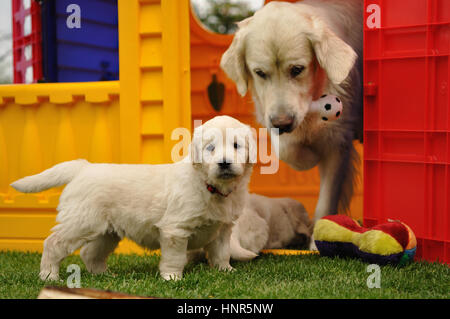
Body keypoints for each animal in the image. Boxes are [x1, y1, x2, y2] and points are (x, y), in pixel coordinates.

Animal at [10, 116, 256, 282]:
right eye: (210, 148)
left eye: (236, 145)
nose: (224, 163)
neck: (210, 186)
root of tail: (83, 168)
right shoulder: (175, 230)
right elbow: (175, 257)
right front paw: (172, 278)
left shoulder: (222, 229)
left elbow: (222, 253)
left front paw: (225, 271)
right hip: (80, 222)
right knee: (53, 243)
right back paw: (49, 276)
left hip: (107, 232)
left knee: (90, 253)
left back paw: (105, 275)